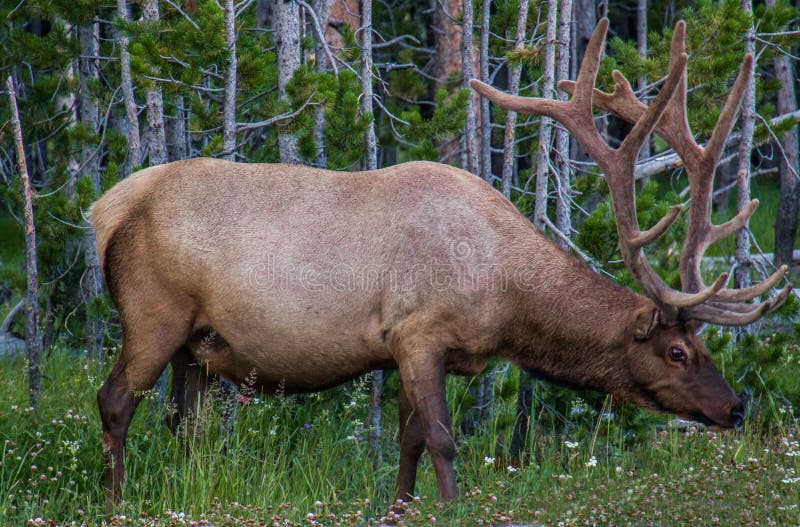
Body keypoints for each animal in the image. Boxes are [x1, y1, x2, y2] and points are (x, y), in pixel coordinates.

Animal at [94, 19, 788, 508]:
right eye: (678, 352)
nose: (736, 408)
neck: (505, 301)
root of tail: (104, 210)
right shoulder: (417, 333)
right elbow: (444, 442)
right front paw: (451, 508)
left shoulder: (409, 349)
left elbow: (407, 442)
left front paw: (400, 509)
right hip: (154, 315)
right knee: (115, 401)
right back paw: (116, 501)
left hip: (200, 345)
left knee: (184, 425)